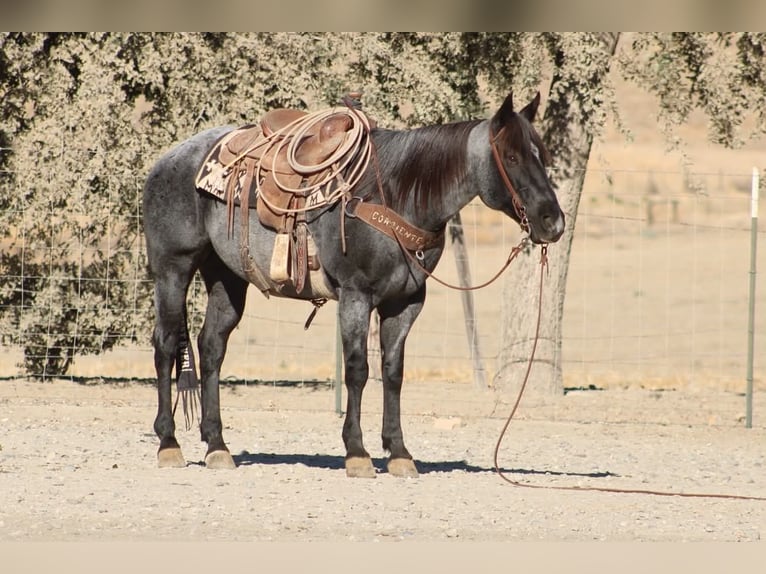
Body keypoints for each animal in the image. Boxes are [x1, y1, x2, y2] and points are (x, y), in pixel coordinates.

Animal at [142, 91, 565, 478]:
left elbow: (393, 371)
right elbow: (358, 369)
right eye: (512, 157)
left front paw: (399, 453)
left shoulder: (406, 303)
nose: (553, 222)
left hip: (227, 278)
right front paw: (357, 452)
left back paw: (217, 446)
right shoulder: (356, 297)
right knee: (166, 345)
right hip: (173, 270)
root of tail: (167, 160)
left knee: (211, 347)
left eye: (541, 156)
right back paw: (168, 444)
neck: (395, 192)